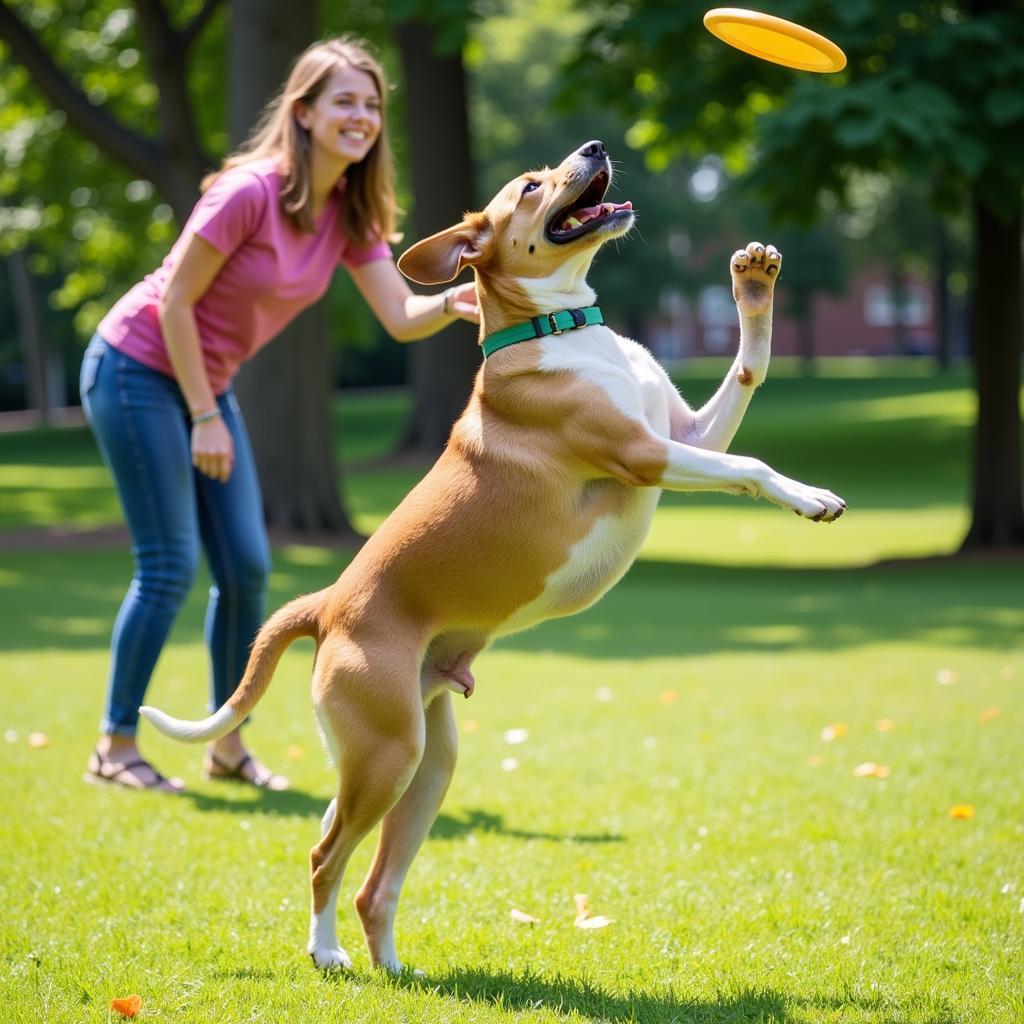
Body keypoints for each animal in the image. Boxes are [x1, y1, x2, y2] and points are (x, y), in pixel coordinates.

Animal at [140, 140, 843, 970]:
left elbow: (749, 368)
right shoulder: (646, 453)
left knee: (372, 879)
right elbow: (749, 467)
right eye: (532, 186)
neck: (561, 326)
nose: (594, 147)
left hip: (428, 764)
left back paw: (395, 969)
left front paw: (755, 285)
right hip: (386, 756)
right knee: (325, 854)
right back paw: (326, 953)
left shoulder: (685, 433)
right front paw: (809, 497)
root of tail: (328, 605)